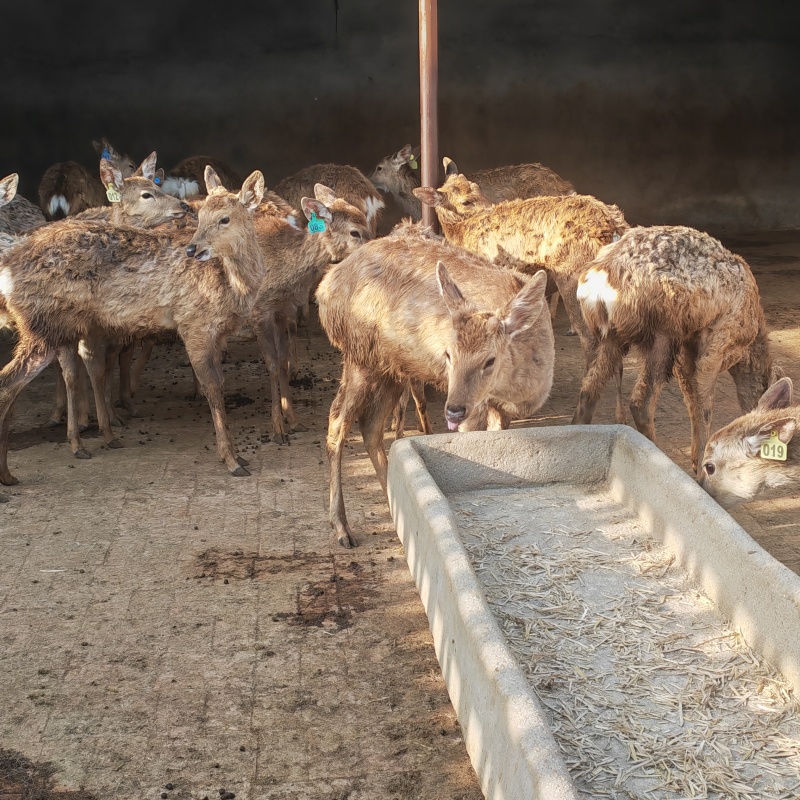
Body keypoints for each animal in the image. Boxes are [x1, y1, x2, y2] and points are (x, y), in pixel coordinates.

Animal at [0, 166, 266, 486]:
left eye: (224, 218)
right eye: (201, 216)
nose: (193, 249)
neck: (233, 285)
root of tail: (8, 267)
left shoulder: (218, 334)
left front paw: (236, 456)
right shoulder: (193, 323)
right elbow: (213, 387)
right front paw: (231, 460)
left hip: (53, 328)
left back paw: (10, 473)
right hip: (43, 324)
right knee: (10, 381)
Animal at [316, 221, 555, 547]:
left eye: (489, 360)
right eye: (447, 354)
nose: (453, 409)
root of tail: (325, 288)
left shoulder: (497, 408)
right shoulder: (478, 408)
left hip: (391, 367)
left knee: (371, 426)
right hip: (359, 354)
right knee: (338, 420)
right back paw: (342, 528)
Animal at [414, 172, 630, 422]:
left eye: (477, 190)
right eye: (466, 200)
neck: (461, 233)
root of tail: (615, 228)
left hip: (574, 280)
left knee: (593, 343)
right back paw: (620, 415)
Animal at [572, 225, 781, 474]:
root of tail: (598, 285)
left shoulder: (688, 348)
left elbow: (691, 398)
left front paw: (695, 461)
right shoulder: (719, 340)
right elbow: (704, 403)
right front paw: (702, 467)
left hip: (614, 337)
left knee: (588, 389)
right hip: (661, 332)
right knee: (641, 402)